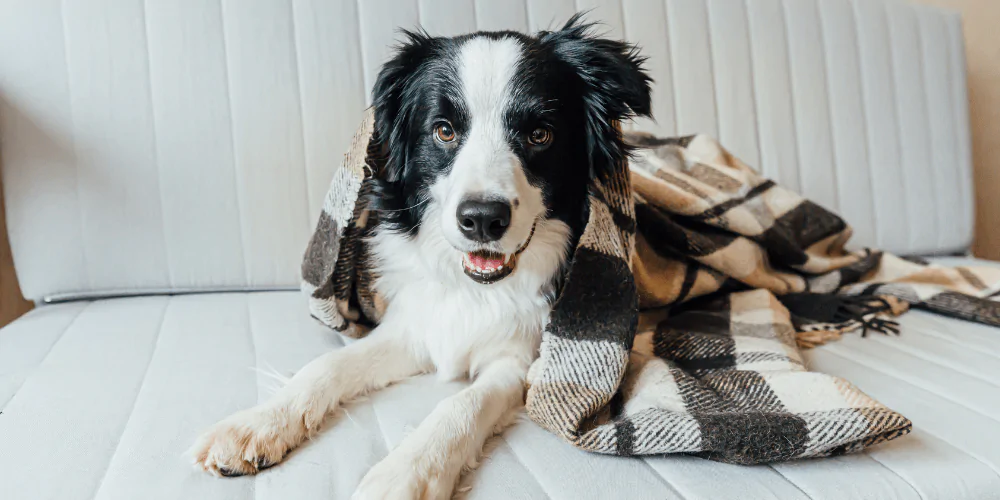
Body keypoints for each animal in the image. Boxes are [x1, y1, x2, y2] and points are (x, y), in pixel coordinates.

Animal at [190, 15, 652, 500]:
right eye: (444, 130)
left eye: (540, 134)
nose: (482, 219)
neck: (475, 291)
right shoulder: (413, 326)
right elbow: (327, 365)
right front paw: (254, 425)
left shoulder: (518, 359)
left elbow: (463, 403)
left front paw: (404, 473)